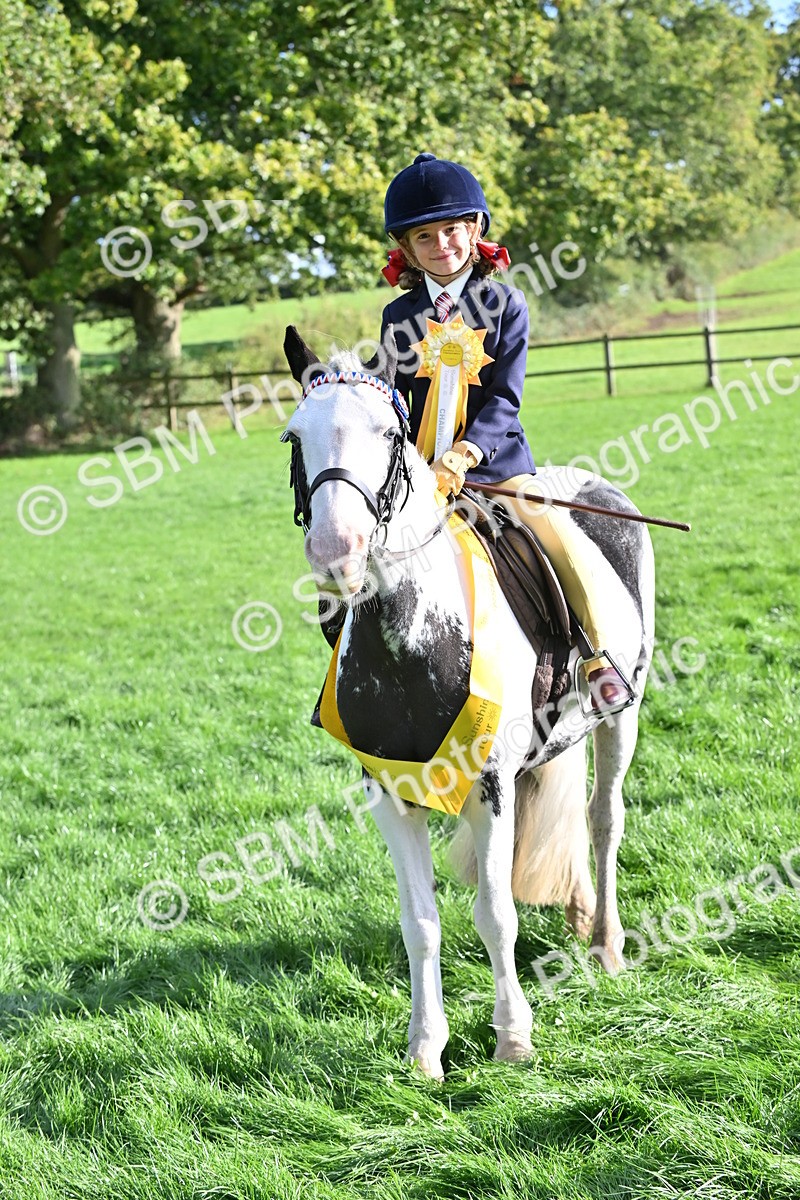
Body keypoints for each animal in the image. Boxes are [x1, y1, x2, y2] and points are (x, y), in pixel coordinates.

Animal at [282, 325, 655, 1081]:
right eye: (294, 436)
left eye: (390, 433)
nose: (337, 551)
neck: (411, 643)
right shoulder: (389, 794)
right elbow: (420, 922)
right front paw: (425, 1049)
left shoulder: (490, 786)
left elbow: (495, 913)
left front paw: (513, 1038)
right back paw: (578, 914)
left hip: (620, 716)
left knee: (604, 820)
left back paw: (605, 943)